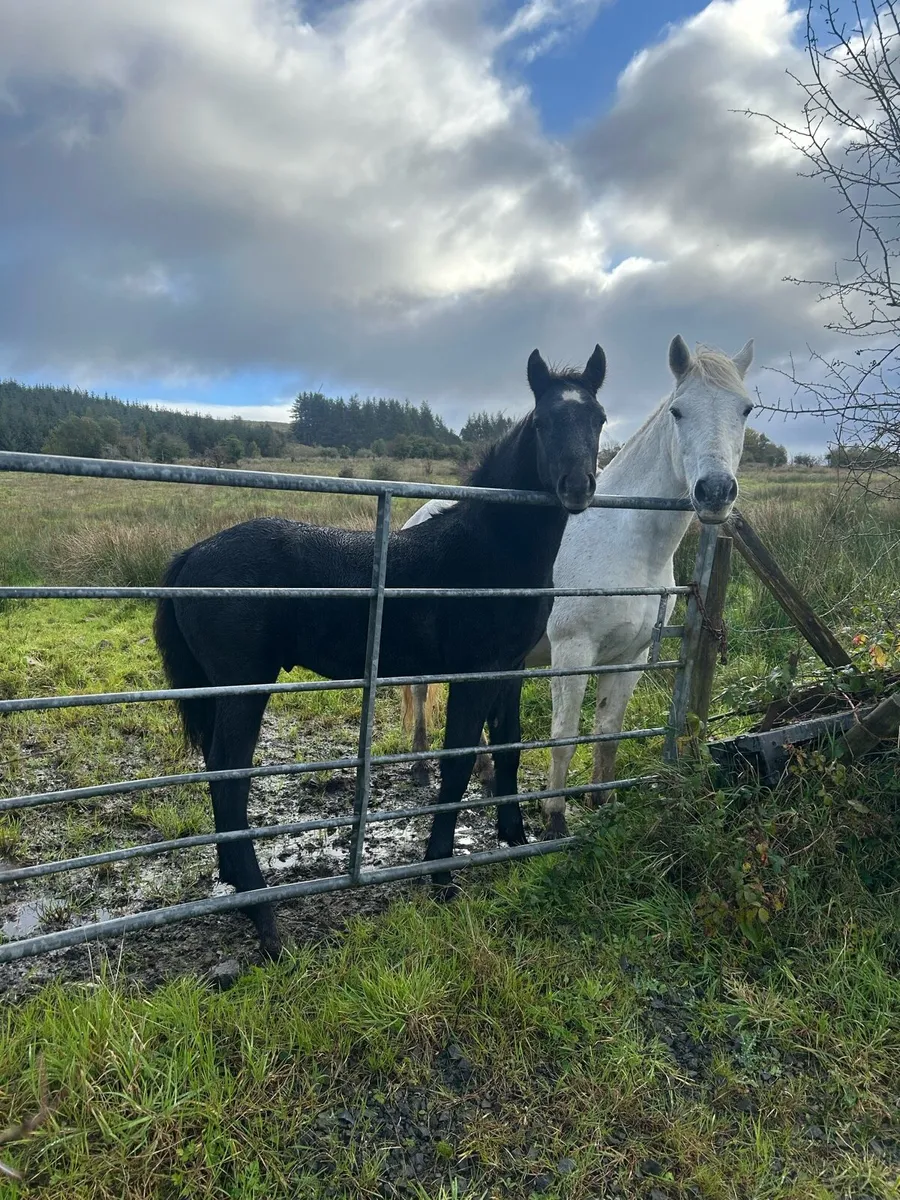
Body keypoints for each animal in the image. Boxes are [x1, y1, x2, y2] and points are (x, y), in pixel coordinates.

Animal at [154, 344, 607, 955]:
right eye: (543, 422)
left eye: (598, 418)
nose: (577, 486)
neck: (490, 550)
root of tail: (193, 553)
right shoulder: (474, 672)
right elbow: (457, 762)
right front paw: (441, 875)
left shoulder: (509, 668)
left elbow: (508, 749)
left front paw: (516, 841)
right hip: (244, 687)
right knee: (230, 776)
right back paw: (264, 915)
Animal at [399, 336, 754, 835]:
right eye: (678, 411)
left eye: (745, 409)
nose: (716, 491)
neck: (626, 539)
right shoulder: (572, 652)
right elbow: (564, 738)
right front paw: (554, 819)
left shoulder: (630, 657)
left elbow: (607, 735)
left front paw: (603, 804)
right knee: (418, 691)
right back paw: (419, 764)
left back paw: (485, 775)